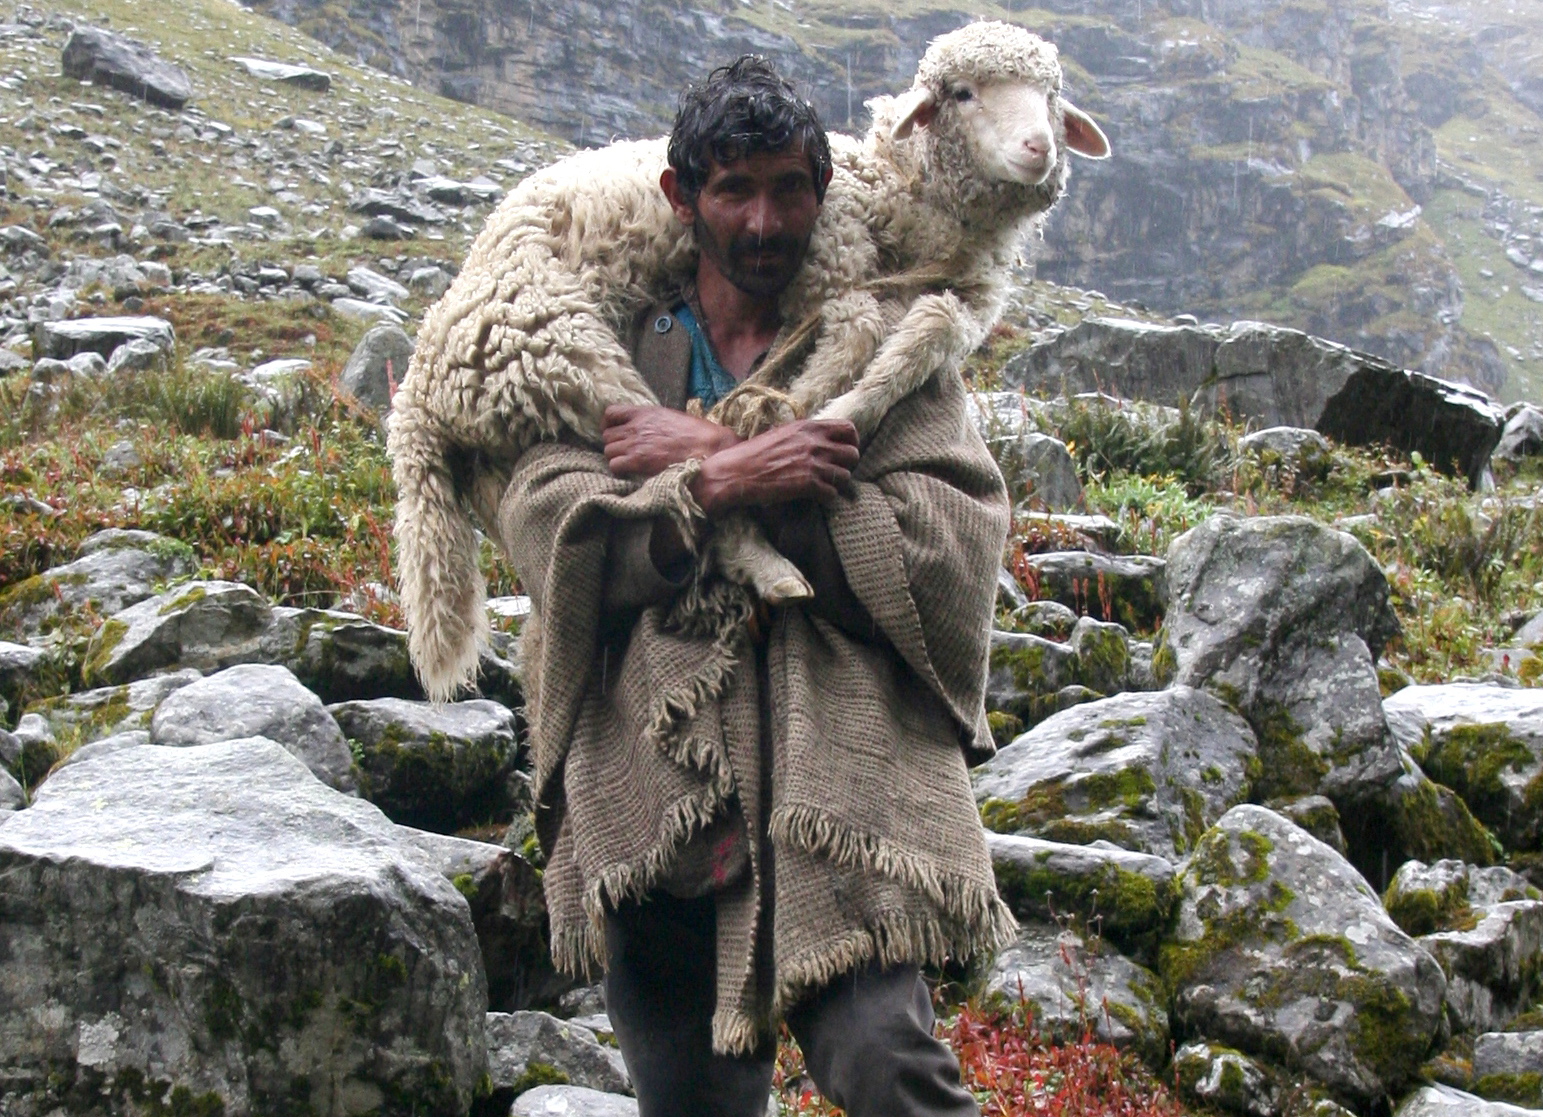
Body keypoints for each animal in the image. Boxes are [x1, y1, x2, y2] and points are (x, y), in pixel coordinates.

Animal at [390, 21, 1109, 703]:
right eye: (961, 93)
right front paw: (814, 409)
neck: (905, 202)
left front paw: (842, 404)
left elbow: (926, 333)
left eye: (1050, 97)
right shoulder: (829, 261)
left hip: (511, 432)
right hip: (556, 345)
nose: (1036, 149)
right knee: (674, 481)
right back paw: (769, 559)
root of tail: (418, 394)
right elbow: (858, 329)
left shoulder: (960, 299)